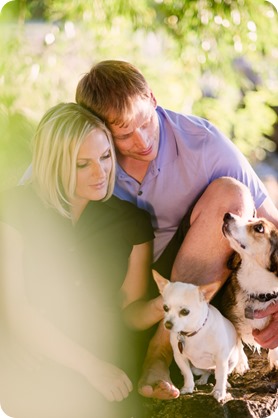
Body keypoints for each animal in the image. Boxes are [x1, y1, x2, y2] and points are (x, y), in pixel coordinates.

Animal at [152, 270, 248, 404]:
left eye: (185, 312)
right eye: (165, 308)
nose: (168, 324)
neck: (193, 333)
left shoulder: (221, 359)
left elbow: (221, 376)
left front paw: (219, 392)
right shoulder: (180, 358)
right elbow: (187, 373)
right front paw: (188, 387)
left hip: (231, 361)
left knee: (221, 374)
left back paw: (225, 384)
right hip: (197, 368)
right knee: (206, 373)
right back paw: (202, 379)